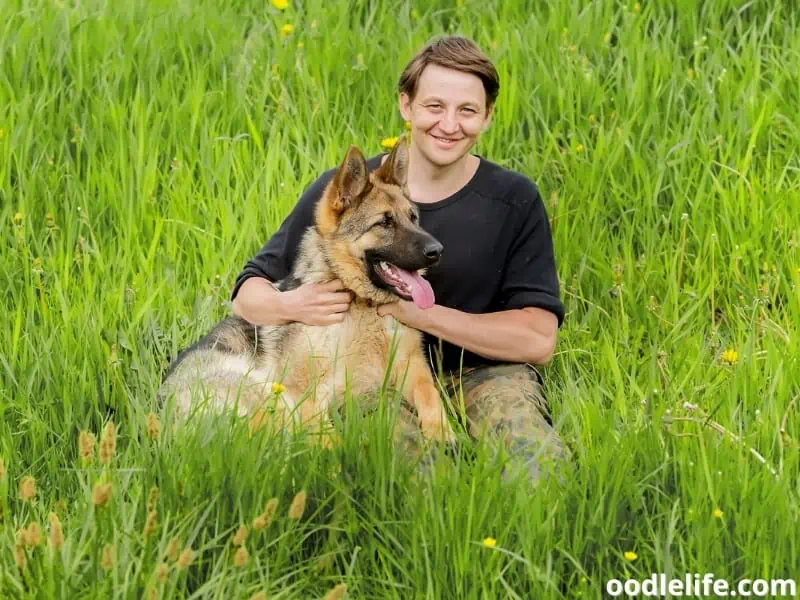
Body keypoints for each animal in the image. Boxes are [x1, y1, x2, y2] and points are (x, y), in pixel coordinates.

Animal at [159, 138, 456, 442]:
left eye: (413, 218)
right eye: (384, 222)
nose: (437, 251)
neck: (361, 303)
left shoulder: (412, 367)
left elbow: (429, 395)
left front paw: (442, 434)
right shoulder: (304, 394)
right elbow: (329, 440)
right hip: (268, 393)